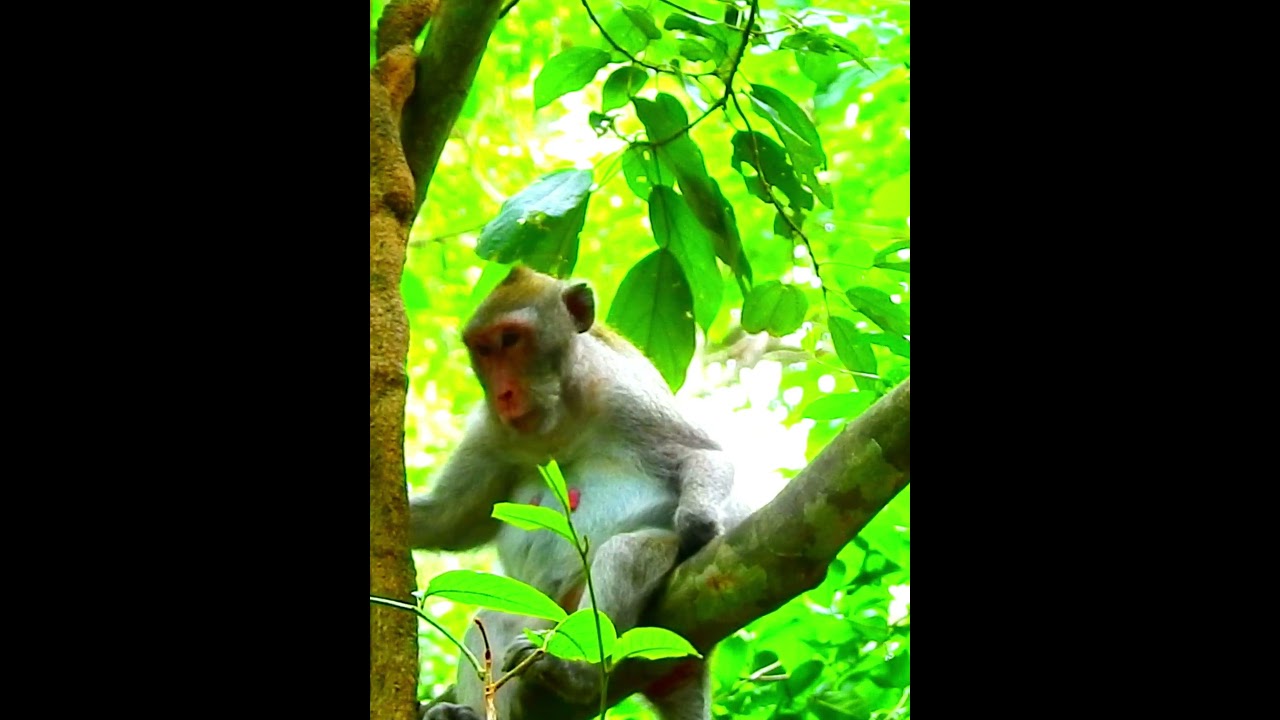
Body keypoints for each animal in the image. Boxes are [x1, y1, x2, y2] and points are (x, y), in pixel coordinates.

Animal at [411, 265, 744, 720]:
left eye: (511, 339)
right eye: (483, 350)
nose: (504, 393)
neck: (559, 422)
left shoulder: (625, 395)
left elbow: (702, 456)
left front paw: (699, 522)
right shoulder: (492, 434)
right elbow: (449, 521)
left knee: (625, 555)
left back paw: (577, 675)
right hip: (541, 617)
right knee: (494, 620)